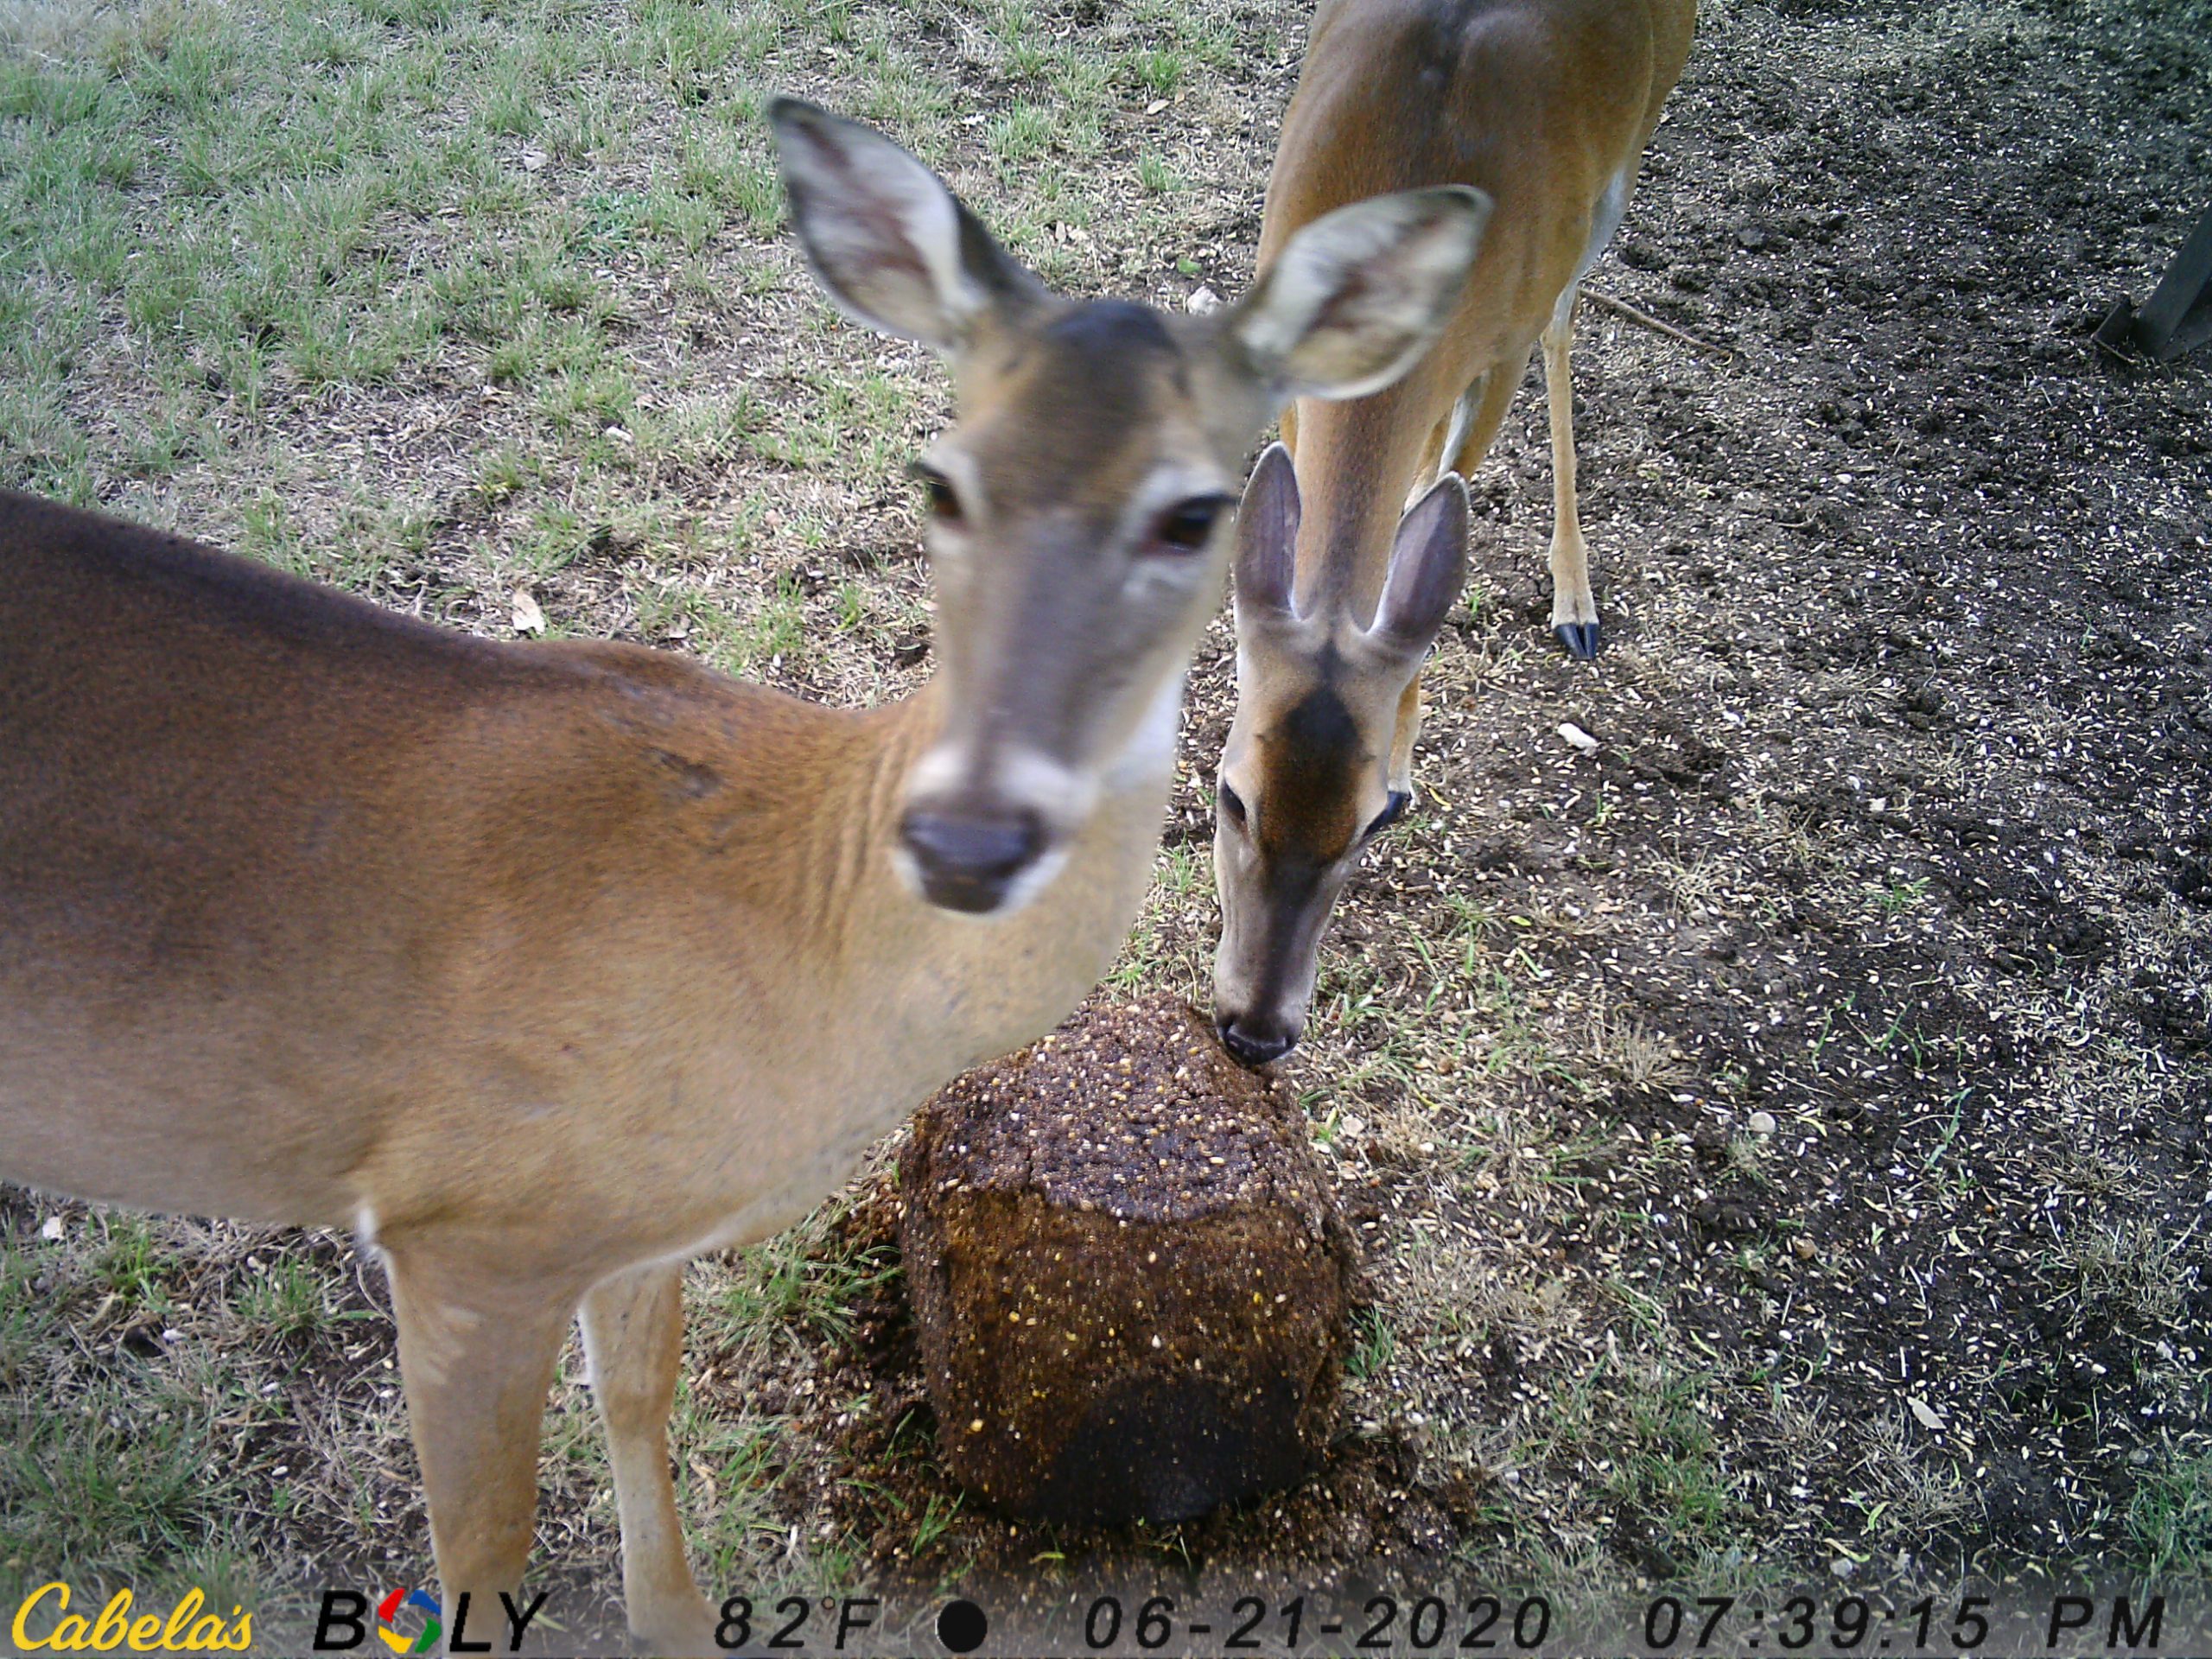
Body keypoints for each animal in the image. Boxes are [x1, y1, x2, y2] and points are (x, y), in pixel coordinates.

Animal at [0, 99, 1490, 1652]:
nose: (967, 838)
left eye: (1191, 513)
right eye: (941, 479)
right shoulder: (462, 1218)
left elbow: (639, 1404)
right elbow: (486, 1553)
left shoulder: (630, 1223)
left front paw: (675, 1614)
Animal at [1210, 0, 1698, 1067]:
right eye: (1230, 795)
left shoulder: (1497, 345)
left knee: (1565, 321)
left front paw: (1404, 750)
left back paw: (1575, 601)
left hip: (1627, 155)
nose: (1255, 1032)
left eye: (1372, 828)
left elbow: (1446, 496)